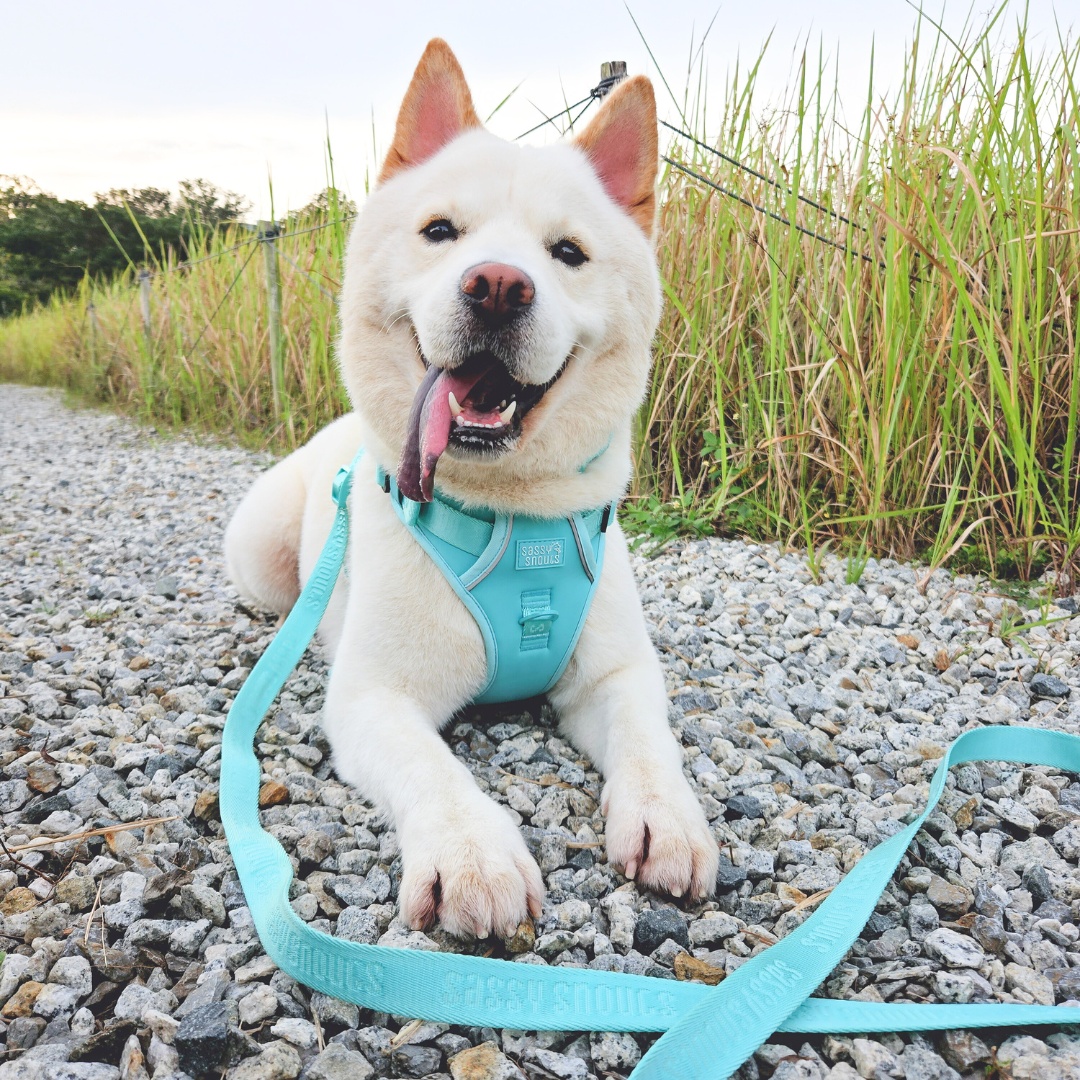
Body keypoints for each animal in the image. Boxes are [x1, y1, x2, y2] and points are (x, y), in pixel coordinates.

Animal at [225, 39, 717, 937]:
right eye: (439, 232)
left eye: (568, 253)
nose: (496, 285)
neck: (511, 517)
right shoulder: (374, 696)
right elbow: (434, 769)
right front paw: (472, 854)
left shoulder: (616, 676)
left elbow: (648, 738)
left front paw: (668, 815)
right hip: (258, 552)